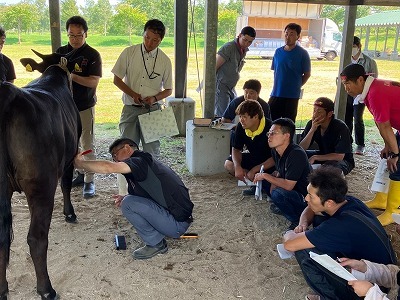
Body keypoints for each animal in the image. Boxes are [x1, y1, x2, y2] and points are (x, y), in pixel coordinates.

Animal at [0, 50, 82, 298]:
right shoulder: (70, 157)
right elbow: (66, 184)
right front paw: (69, 214)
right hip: (41, 184)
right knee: (36, 238)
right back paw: (46, 289)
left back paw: (2, 289)